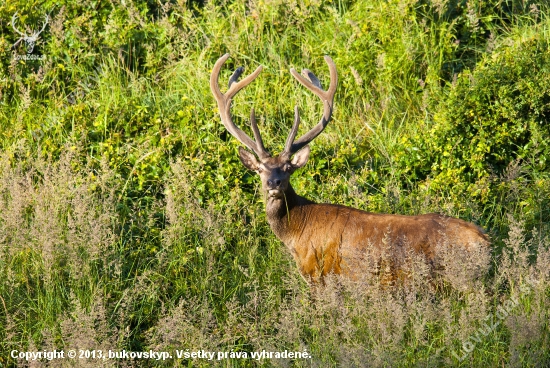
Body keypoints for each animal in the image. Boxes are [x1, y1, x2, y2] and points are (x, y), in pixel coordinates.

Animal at [210, 54, 492, 284]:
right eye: (260, 169)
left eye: (288, 168)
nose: (273, 183)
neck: (297, 233)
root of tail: (486, 241)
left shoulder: (319, 274)